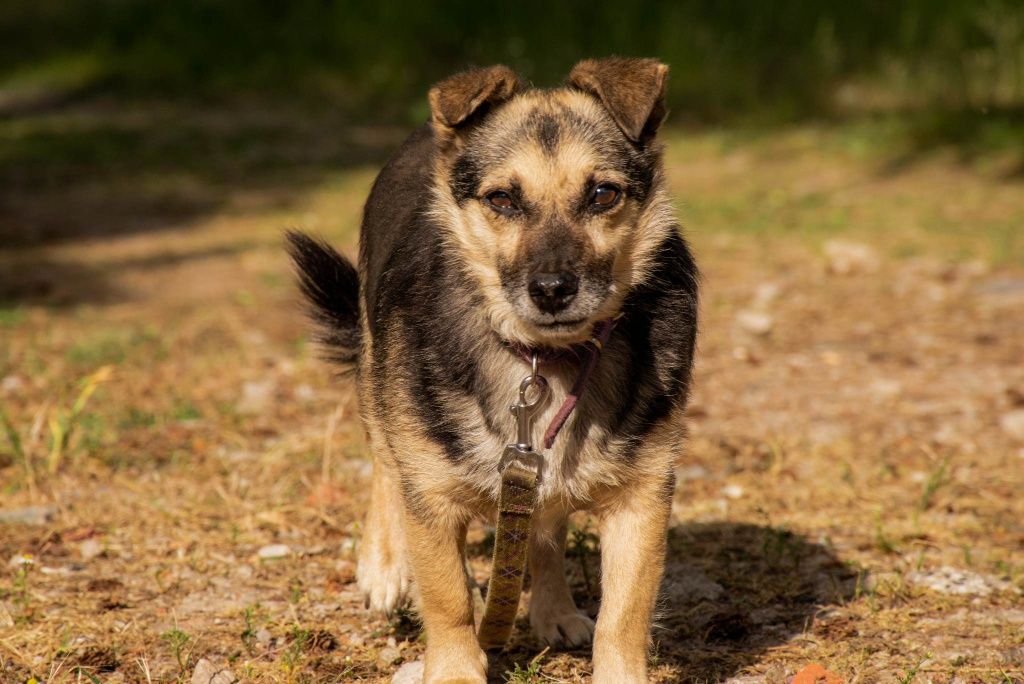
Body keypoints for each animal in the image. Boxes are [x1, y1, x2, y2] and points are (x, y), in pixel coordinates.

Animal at [292, 57, 700, 684]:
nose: (553, 290)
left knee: (542, 533)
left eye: (603, 194)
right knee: (385, 464)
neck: (542, 356)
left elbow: (623, 615)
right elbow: (450, 599)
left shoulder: (642, 498)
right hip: (379, 381)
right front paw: (456, 667)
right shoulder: (431, 494)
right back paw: (384, 564)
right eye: (503, 199)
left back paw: (553, 608)